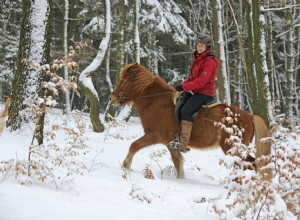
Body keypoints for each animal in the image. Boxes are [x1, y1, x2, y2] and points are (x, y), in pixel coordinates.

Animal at [109, 62, 270, 178]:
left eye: (124, 79)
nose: (112, 97)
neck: (155, 101)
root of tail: (250, 116)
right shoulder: (170, 144)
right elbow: (178, 163)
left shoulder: (156, 136)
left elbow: (134, 145)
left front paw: (125, 166)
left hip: (232, 148)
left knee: (250, 164)